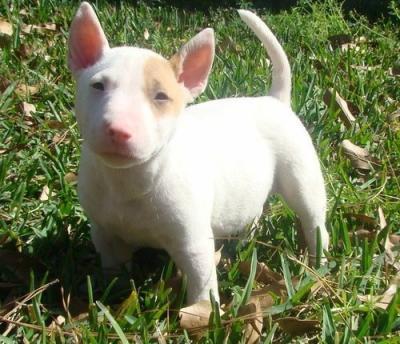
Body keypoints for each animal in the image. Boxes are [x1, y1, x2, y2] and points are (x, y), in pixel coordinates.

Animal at [68, 2, 328, 304]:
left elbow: (201, 286)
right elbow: (114, 267)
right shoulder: (104, 233)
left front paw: (202, 312)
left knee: (314, 222)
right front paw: (114, 291)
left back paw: (319, 262)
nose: (119, 130)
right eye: (98, 86)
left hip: (301, 178)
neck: (129, 181)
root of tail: (274, 100)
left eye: (161, 96)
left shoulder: (193, 245)